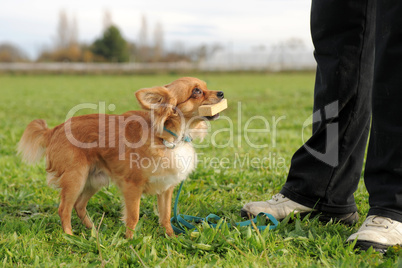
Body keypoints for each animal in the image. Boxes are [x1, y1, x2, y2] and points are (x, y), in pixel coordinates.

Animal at [17, 76, 225, 238]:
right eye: (197, 91)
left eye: (206, 87)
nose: (222, 93)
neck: (169, 136)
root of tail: (55, 130)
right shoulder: (132, 186)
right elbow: (133, 216)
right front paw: (131, 241)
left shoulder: (166, 188)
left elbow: (165, 216)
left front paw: (171, 237)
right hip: (76, 178)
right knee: (64, 209)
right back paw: (70, 235)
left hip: (94, 179)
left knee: (79, 205)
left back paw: (94, 230)